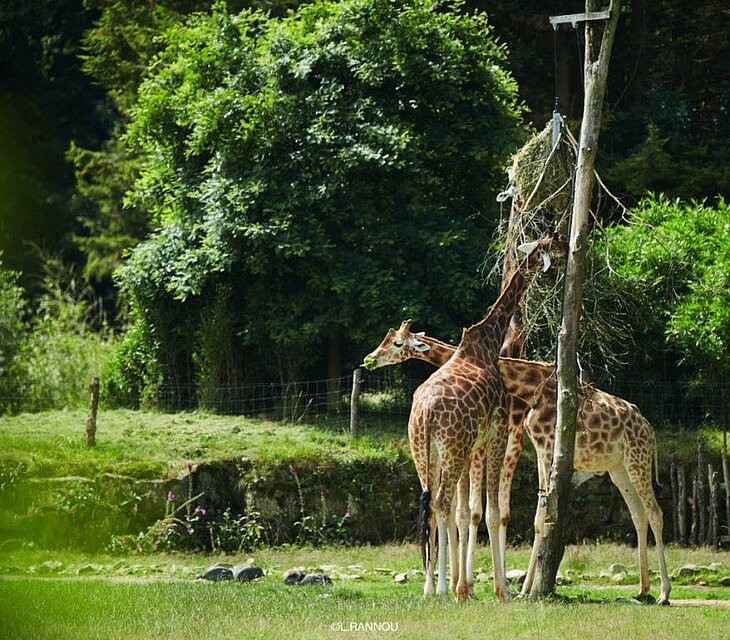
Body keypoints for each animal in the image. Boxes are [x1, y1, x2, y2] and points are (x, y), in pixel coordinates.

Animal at [363, 327, 671, 605]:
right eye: (386, 337)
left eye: (397, 342)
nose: (369, 359)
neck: (530, 388)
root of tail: (649, 430)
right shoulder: (536, 448)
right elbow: (517, 513)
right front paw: (508, 588)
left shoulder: (546, 447)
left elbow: (532, 515)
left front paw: (519, 590)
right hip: (619, 470)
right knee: (639, 515)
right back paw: (643, 588)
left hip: (637, 460)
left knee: (656, 512)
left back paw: (664, 594)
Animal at [404, 234, 565, 601]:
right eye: (551, 243)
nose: (567, 251)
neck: (489, 343)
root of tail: (426, 411)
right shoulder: (497, 433)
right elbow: (491, 512)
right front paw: (500, 589)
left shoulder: (474, 444)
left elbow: (469, 511)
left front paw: (466, 586)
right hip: (452, 448)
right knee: (441, 504)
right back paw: (443, 590)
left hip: (426, 452)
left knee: (429, 506)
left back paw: (432, 588)